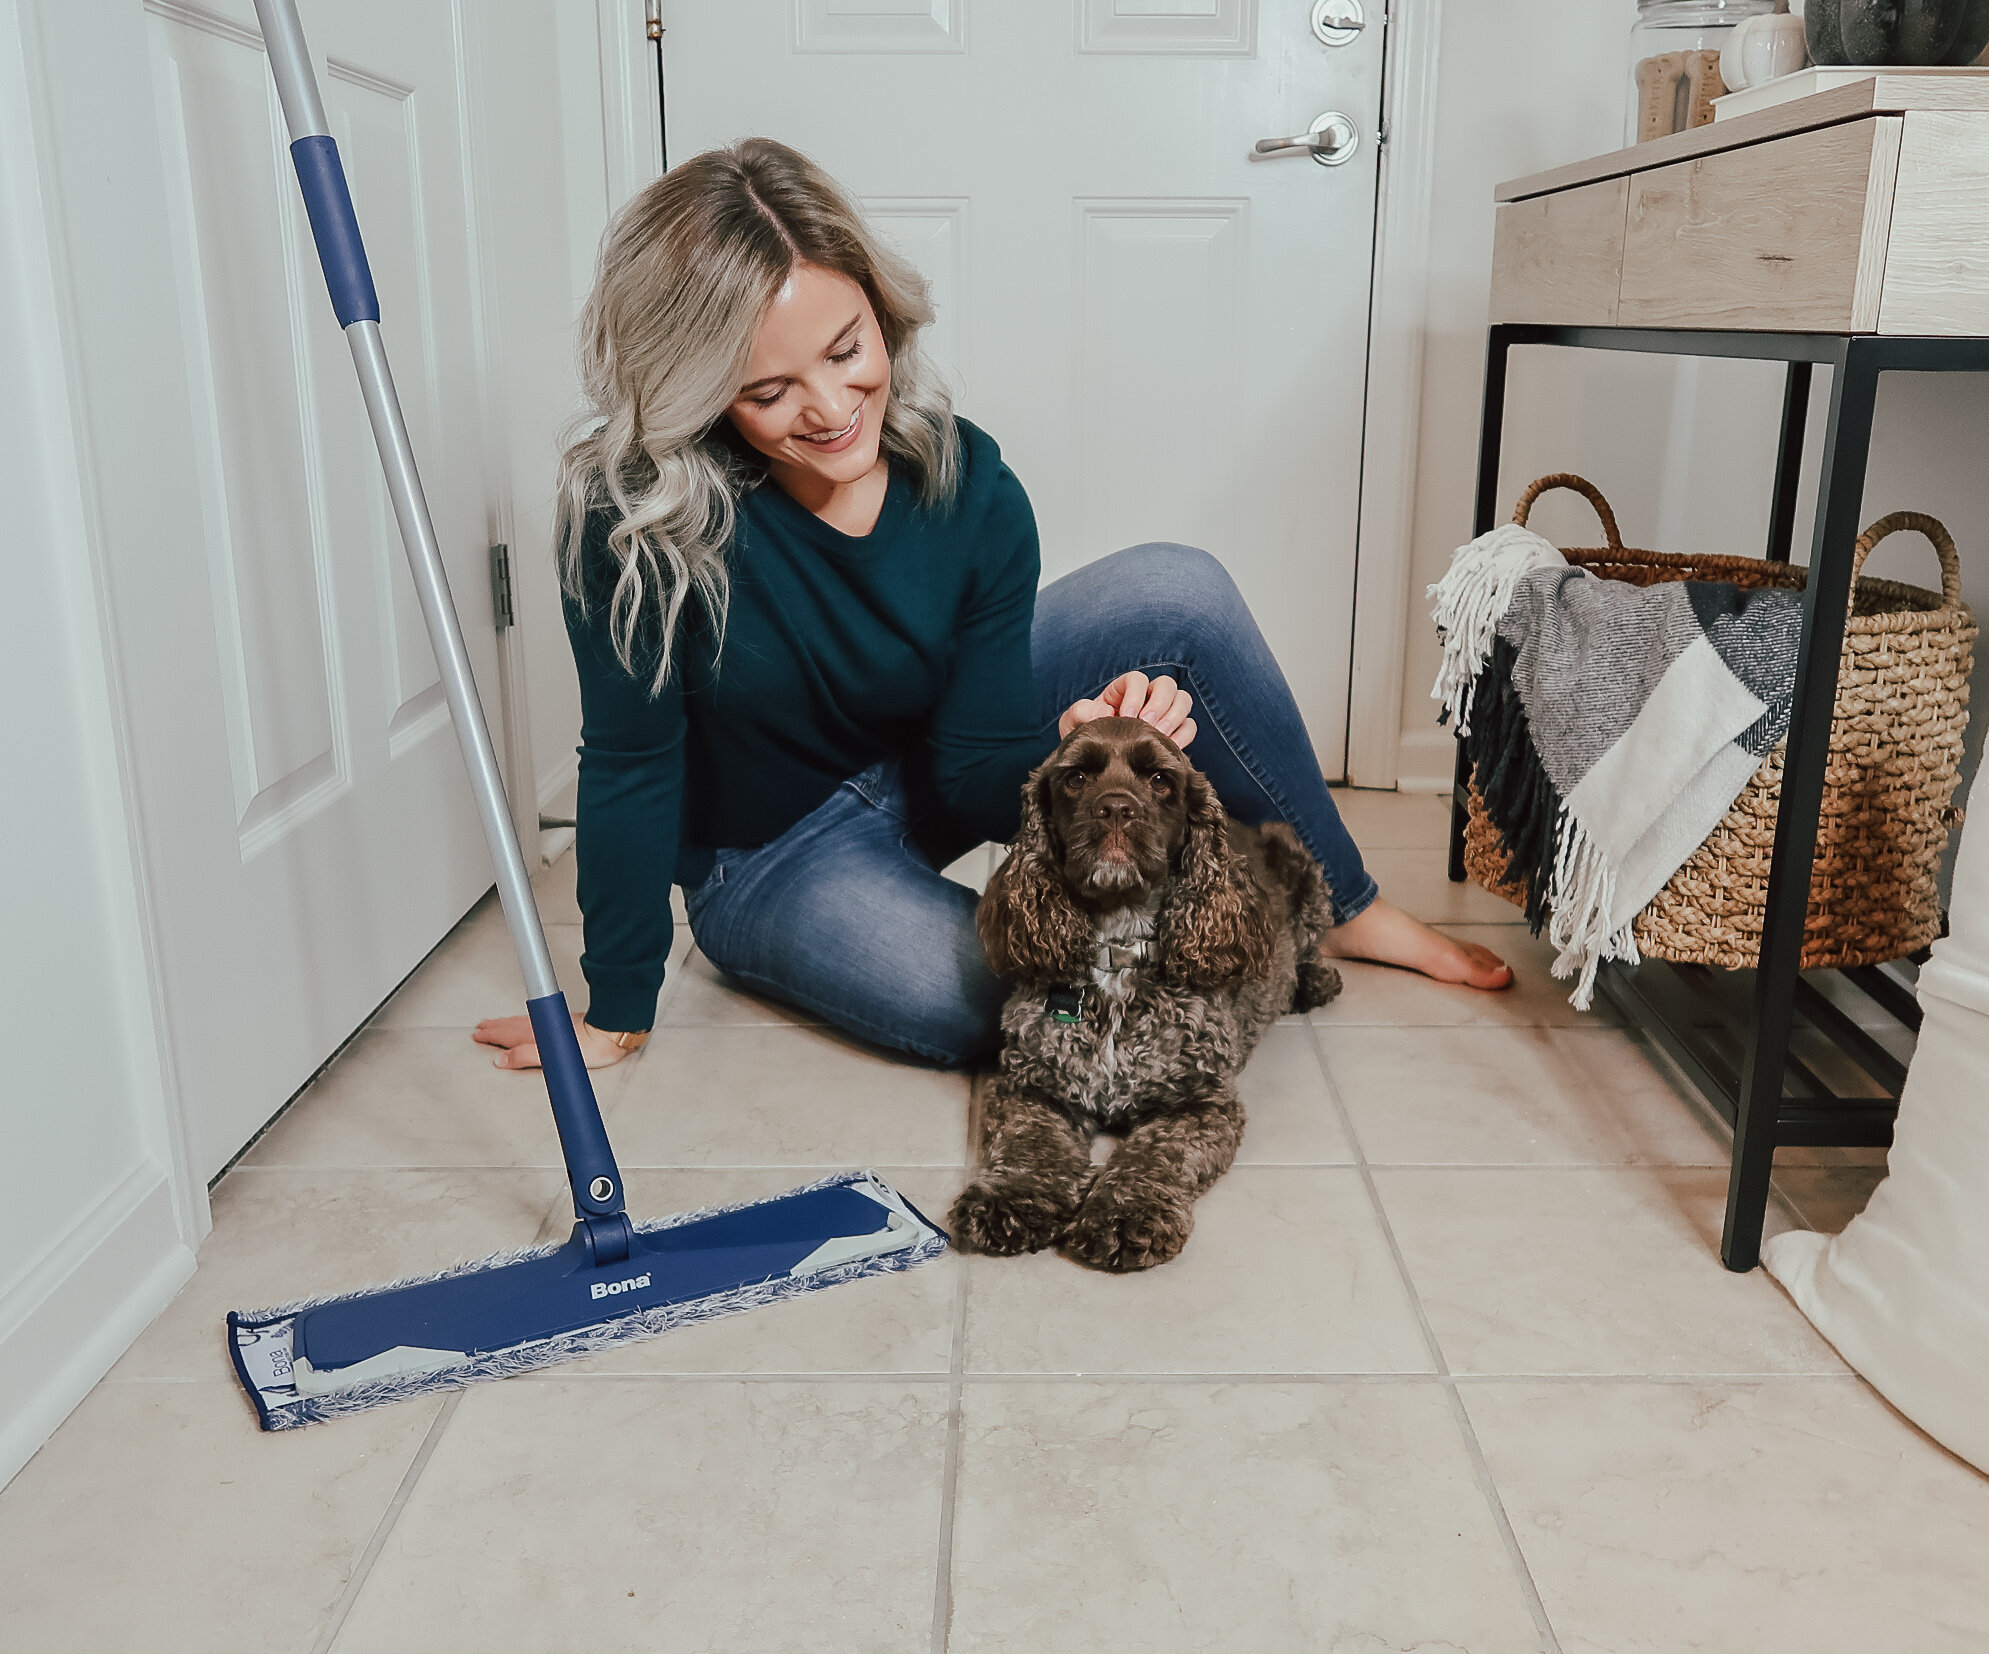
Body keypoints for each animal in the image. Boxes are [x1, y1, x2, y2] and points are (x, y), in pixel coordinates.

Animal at [946, 715, 1336, 1272]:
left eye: (1159, 780)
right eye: (1076, 778)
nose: (1115, 808)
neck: (1118, 947)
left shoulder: (1199, 1104)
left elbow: (1155, 1155)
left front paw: (1124, 1215)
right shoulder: (1031, 1087)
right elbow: (1030, 1147)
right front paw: (1010, 1201)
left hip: (1302, 862)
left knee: (1309, 940)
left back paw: (1314, 981)